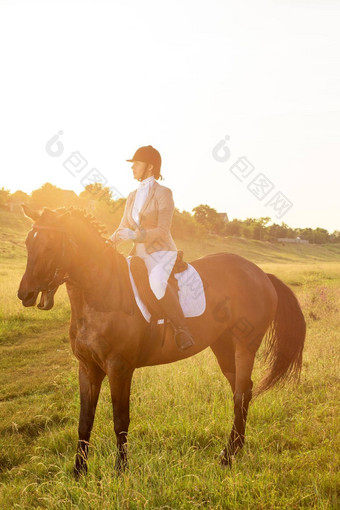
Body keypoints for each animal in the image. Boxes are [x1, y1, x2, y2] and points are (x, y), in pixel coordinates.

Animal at [17, 205, 306, 476]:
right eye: (28, 243)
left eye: (50, 245)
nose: (25, 294)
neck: (102, 293)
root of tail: (260, 274)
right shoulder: (87, 368)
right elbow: (84, 420)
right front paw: (79, 472)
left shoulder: (119, 368)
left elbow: (120, 420)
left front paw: (121, 471)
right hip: (223, 346)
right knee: (244, 390)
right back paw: (234, 449)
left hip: (245, 346)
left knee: (240, 393)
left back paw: (228, 456)